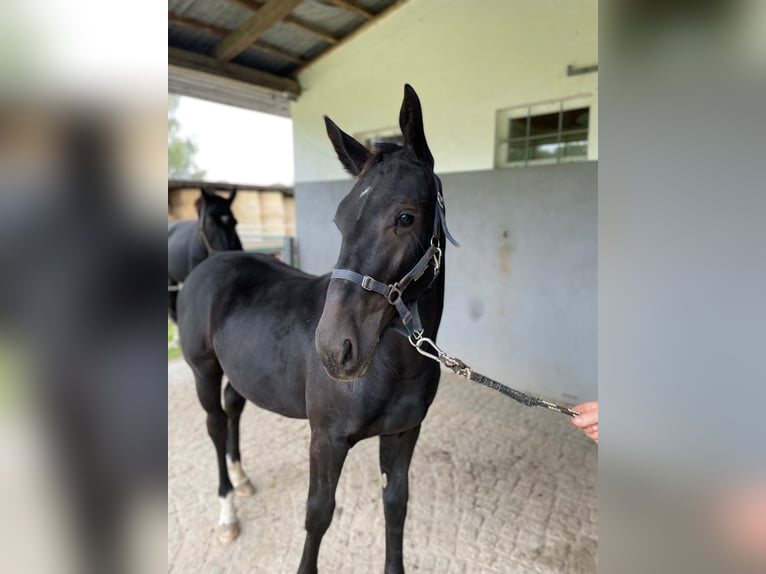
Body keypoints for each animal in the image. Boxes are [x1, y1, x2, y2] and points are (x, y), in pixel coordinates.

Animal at [179, 86, 450, 574]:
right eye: (340, 220)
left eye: (405, 217)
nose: (334, 350)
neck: (393, 366)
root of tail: (208, 264)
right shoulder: (327, 440)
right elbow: (319, 514)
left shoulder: (403, 435)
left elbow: (396, 506)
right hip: (203, 372)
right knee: (214, 424)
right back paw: (228, 511)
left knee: (233, 408)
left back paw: (243, 478)